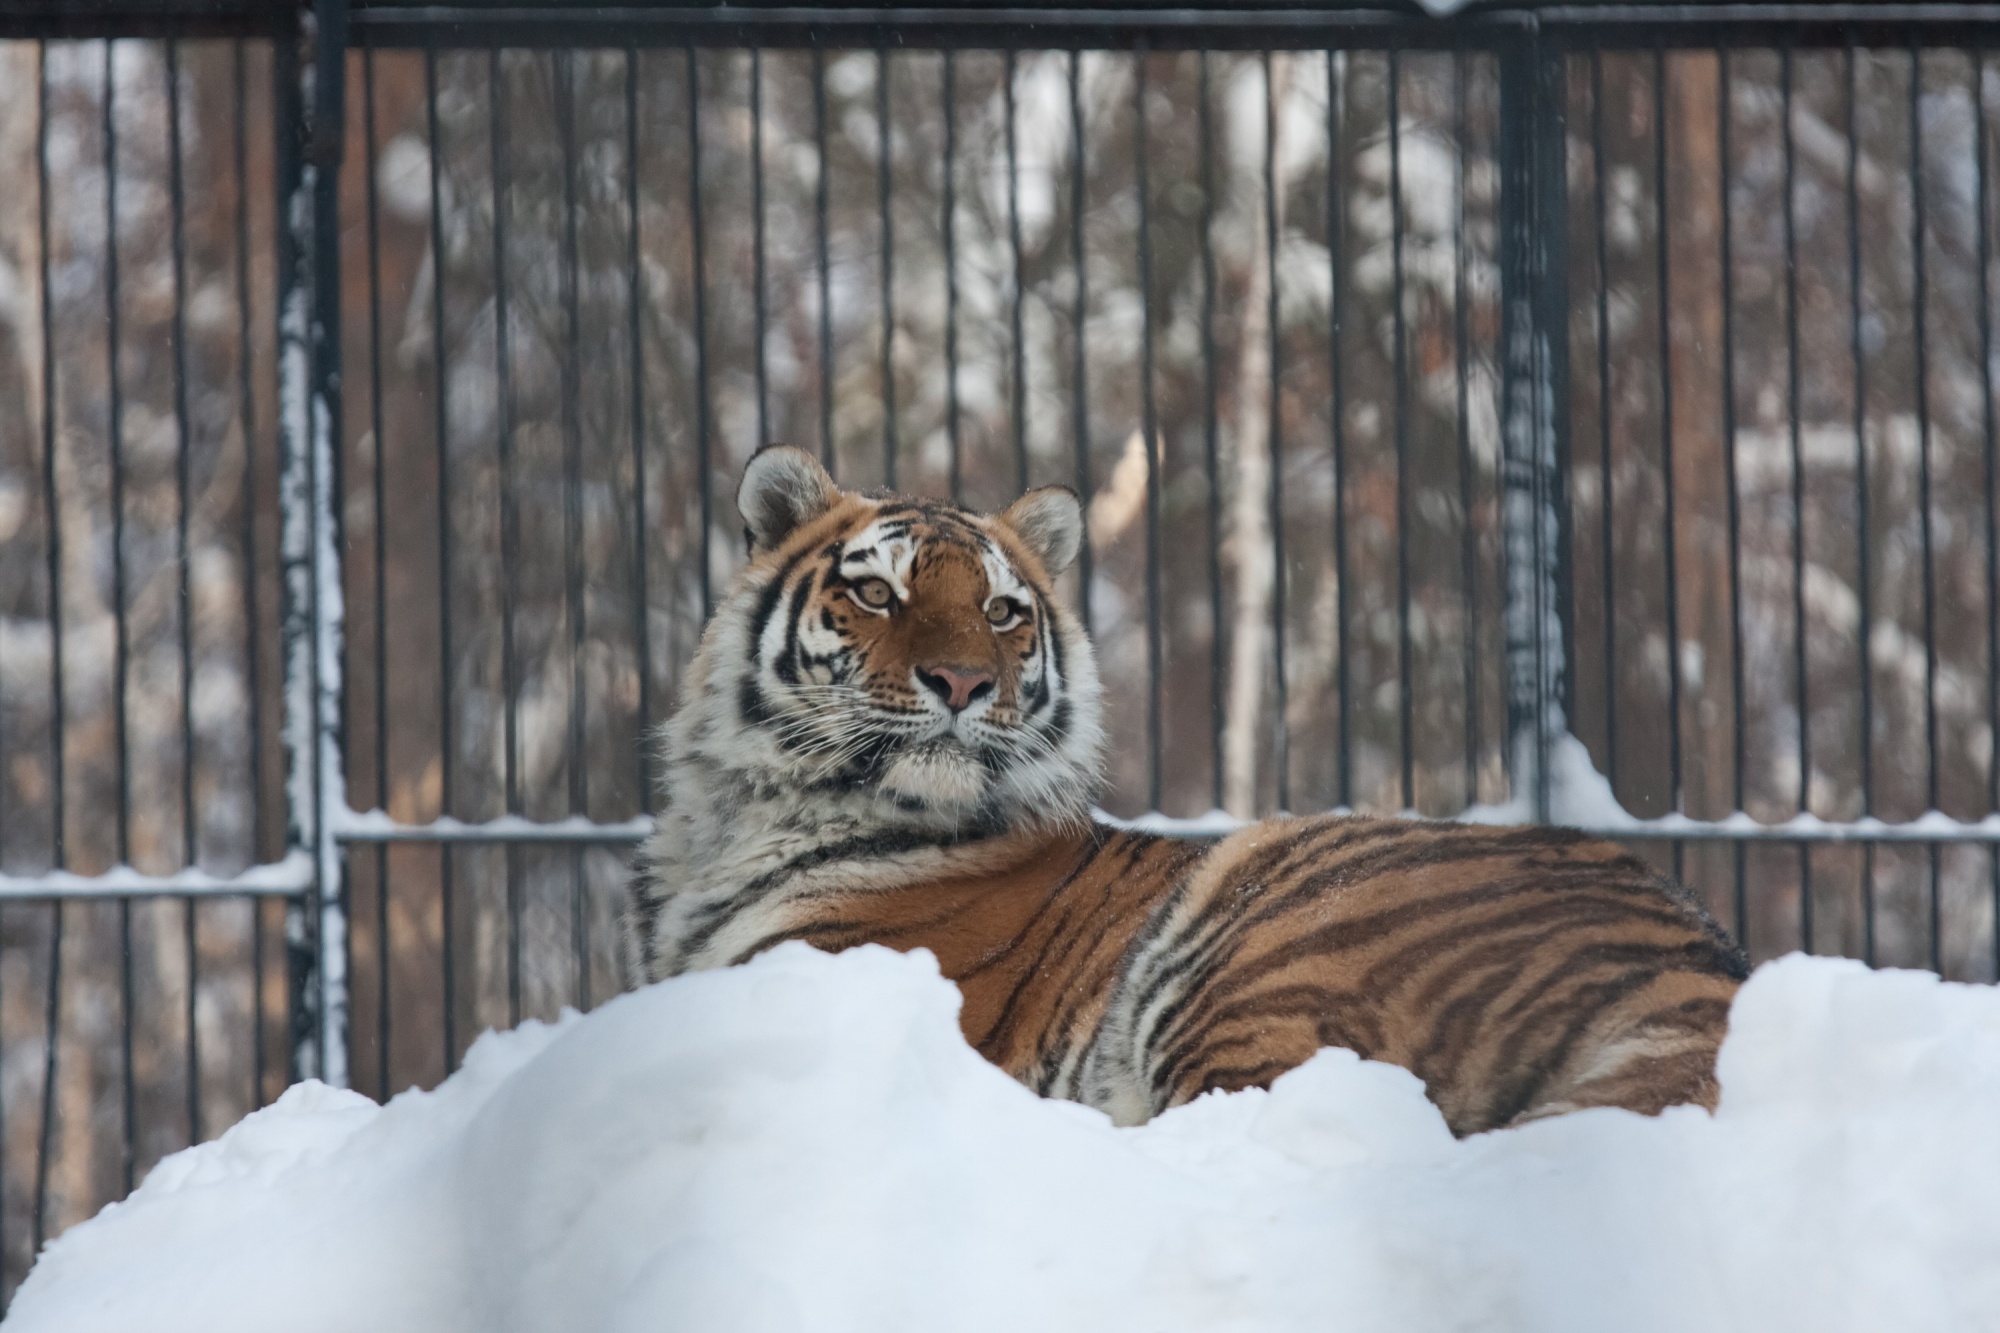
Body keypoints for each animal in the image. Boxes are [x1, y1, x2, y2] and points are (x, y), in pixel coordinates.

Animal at [616, 446, 1744, 1128]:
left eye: (1001, 610)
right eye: (875, 592)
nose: (965, 682)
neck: (738, 819)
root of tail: (1699, 954)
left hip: (1251, 949)